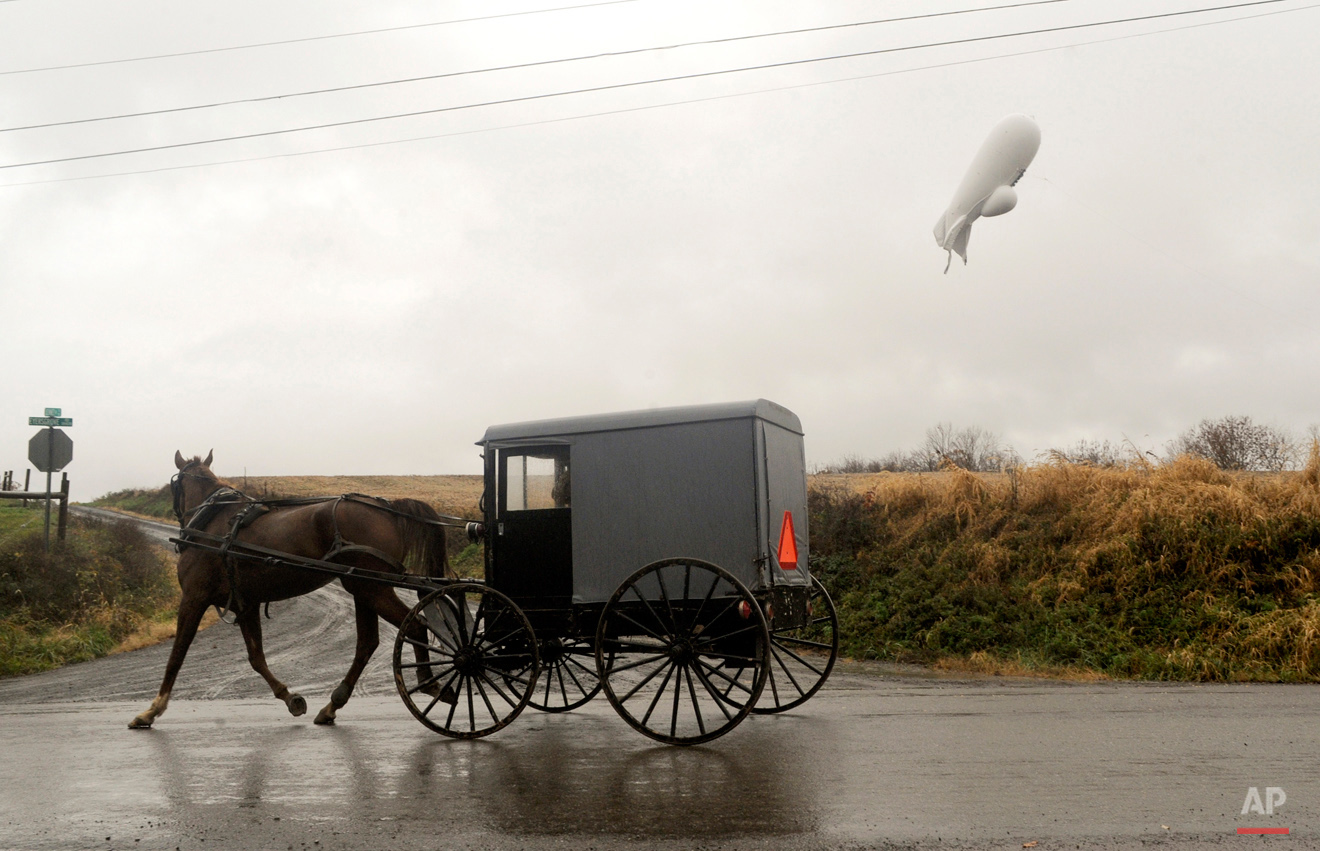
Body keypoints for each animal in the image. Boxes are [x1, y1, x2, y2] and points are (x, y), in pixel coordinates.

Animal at [130, 451, 448, 728]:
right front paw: (290, 698)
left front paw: (151, 710)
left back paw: (430, 683)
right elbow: (256, 657)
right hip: (364, 588)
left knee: (415, 626)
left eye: (175, 484)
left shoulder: (193, 598)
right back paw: (333, 704)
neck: (212, 524)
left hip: (372, 588)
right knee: (367, 643)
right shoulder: (245, 603)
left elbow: (176, 655)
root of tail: (390, 509)